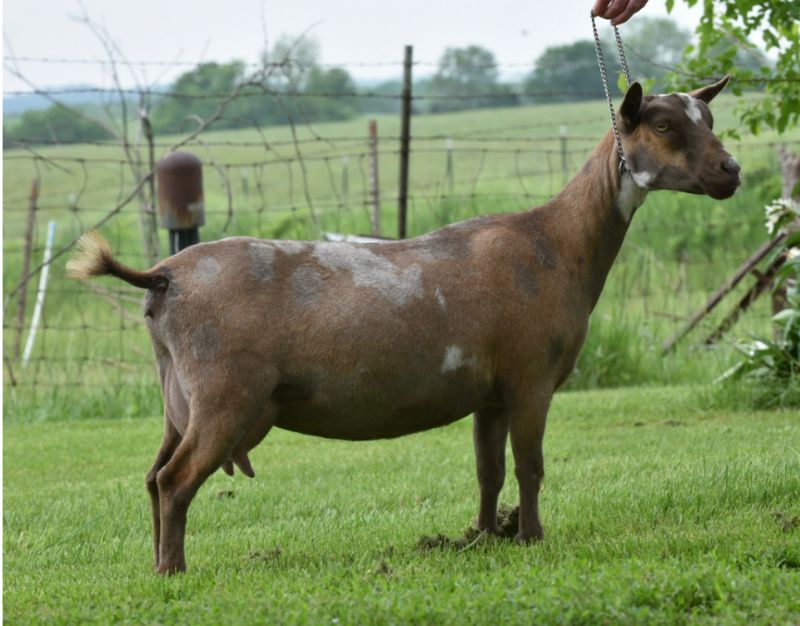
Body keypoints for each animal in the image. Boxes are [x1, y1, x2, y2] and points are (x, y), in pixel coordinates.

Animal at [69, 77, 744, 572]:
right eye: (664, 125)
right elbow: (530, 466)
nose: (731, 171)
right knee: (176, 480)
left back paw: (158, 563)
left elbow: (489, 470)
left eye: (708, 120)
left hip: (177, 396)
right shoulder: (530, 379)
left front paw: (482, 536)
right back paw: (173, 572)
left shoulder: (490, 393)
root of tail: (163, 278)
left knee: (153, 477)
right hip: (223, 394)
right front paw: (532, 538)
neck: (555, 243)